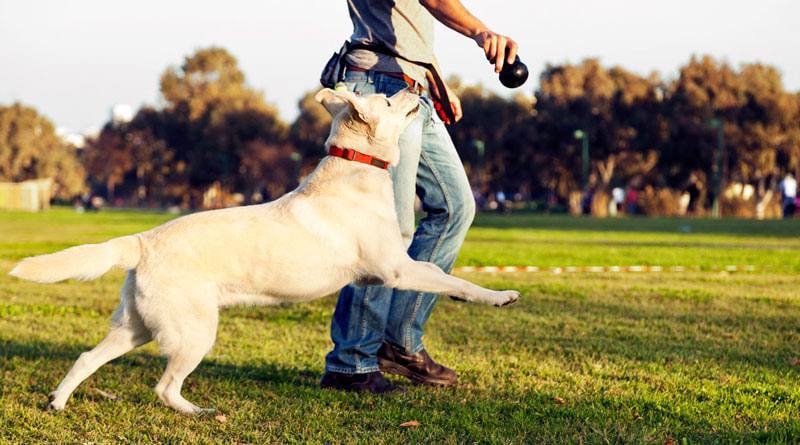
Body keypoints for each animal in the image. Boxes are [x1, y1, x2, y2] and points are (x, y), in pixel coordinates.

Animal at [10, 86, 520, 412]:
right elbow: (451, 279)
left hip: (136, 327)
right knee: (164, 387)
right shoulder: (396, 269)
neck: (355, 169)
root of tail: (142, 240)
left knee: (86, 357)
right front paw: (499, 296)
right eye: (390, 99)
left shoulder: (392, 270)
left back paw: (58, 402)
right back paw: (197, 412)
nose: (417, 87)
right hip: (194, 331)